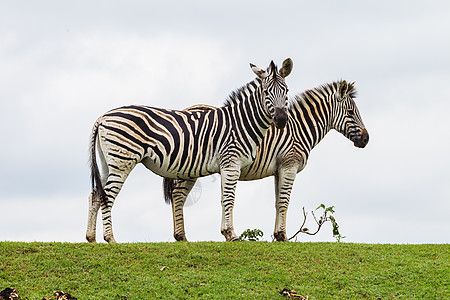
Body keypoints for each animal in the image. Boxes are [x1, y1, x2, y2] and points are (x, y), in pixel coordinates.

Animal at [86, 57, 294, 243]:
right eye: (266, 92)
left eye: (286, 91)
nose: (281, 119)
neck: (241, 122)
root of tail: (103, 117)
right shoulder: (231, 163)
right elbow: (229, 199)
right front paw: (232, 235)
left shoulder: (226, 166)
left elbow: (223, 199)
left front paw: (226, 234)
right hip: (122, 160)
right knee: (107, 196)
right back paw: (110, 239)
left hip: (108, 162)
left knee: (96, 194)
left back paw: (91, 238)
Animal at [163, 79, 368, 241]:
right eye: (350, 112)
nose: (366, 139)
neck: (299, 129)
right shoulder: (289, 166)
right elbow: (285, 201)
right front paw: (283, 236)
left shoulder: (279, 170)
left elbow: (278, 202)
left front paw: (277, 235)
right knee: (178, 195)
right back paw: (182, 237)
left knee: (178, 195)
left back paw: (181, 237)